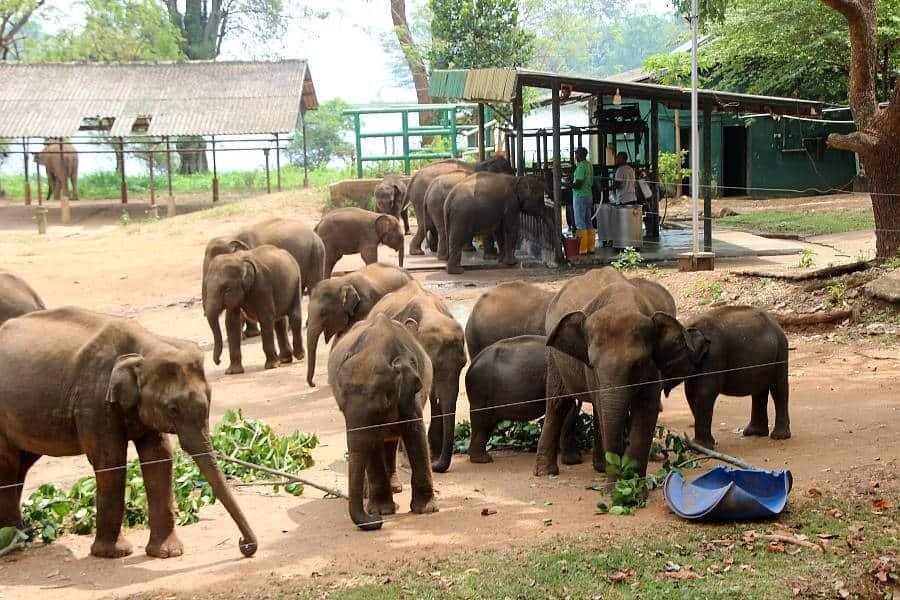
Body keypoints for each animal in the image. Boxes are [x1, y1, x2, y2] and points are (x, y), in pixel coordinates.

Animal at [0, 307, 257, 558]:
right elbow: (110, 461)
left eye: (210, 401)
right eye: (172, 409)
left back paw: (21, 535)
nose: (244, 544)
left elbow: (159, 457)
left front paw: (167, 553)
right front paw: (113, 553)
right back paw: (14, 541)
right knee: (8, 465)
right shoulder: (94, 402)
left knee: (21, 465)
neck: (146, 347)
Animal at [204, 244, 304, 375]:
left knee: (294, 316)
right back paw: (284, 359)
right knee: (280, 321)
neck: (238, 259)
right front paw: (233, 372)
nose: (219, 361)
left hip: (296, 282)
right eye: (206, 286)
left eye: (226, 289)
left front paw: (271, 366)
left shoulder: (262, 285)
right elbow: (231, 322)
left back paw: (299, 356)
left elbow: (265, 318)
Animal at [328, 313, 437, 530]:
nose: (376, 522)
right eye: (342, 409)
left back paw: (394, 488)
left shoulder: (410, 394)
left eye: (382, 405)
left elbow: (415, 432)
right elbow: (372, 445)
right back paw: (369, 495)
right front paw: (382, 511)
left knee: (391, 440)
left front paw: (426, 509)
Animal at [535, 267, 690, 479]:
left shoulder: (653, 368)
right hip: (554, 356)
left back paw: (599, 467)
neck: (621, 302)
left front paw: (633, 484)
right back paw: (546, 472)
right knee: (558, 403)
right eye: (591, 364)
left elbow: (646, 408)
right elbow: (605, 407)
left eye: (638, 363)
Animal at [657, 305, 790, 449]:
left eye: (668, 366)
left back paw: (779, 436)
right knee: (759, 390)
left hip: (781, 351)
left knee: (778, 388)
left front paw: (701, 447)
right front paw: (703, 445)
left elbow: (705, 392)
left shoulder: (714, 355)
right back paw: (755, 433)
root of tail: (776, 323)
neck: (689, 329)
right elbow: (691, 393)